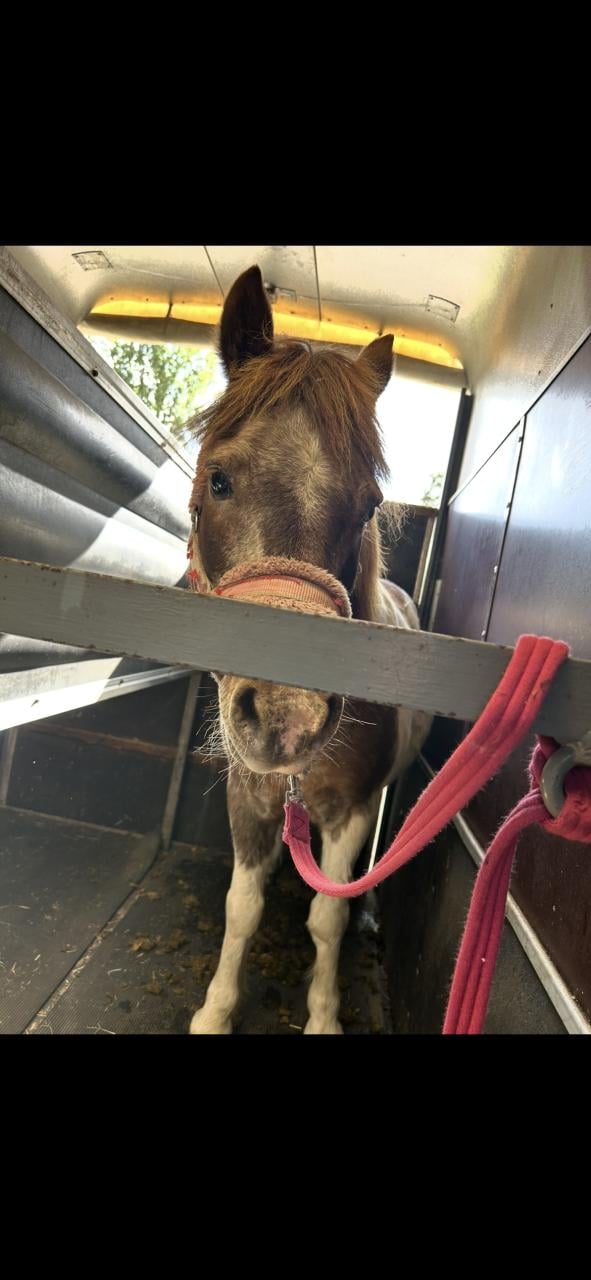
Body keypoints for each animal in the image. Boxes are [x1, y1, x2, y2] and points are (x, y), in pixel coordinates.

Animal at [187, 265, 431, 1034]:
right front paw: (215, 1011)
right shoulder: (248, 797)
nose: (286, 716)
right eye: (218, 479)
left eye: (367, 505)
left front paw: (324, 1015)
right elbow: (241, 907)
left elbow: (326, 916)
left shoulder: (352, 811)